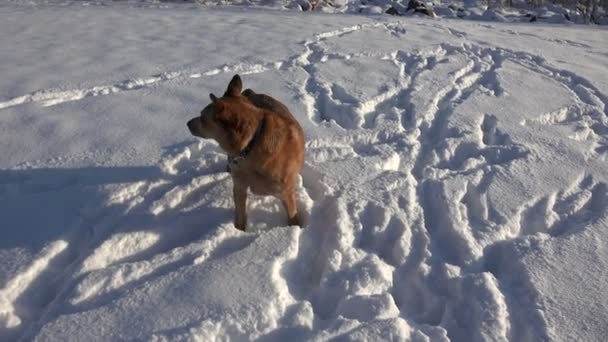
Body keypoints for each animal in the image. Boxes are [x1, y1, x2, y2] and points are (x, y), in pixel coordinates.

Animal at [186, 74, 304, 230]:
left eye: (202, 117)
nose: (187, 123)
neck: (252, 145)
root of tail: (251, 92)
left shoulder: (286, 193)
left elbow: (293, 216)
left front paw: (296, 228)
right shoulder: (239, 187)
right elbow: (240, 216)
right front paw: (239, 231)